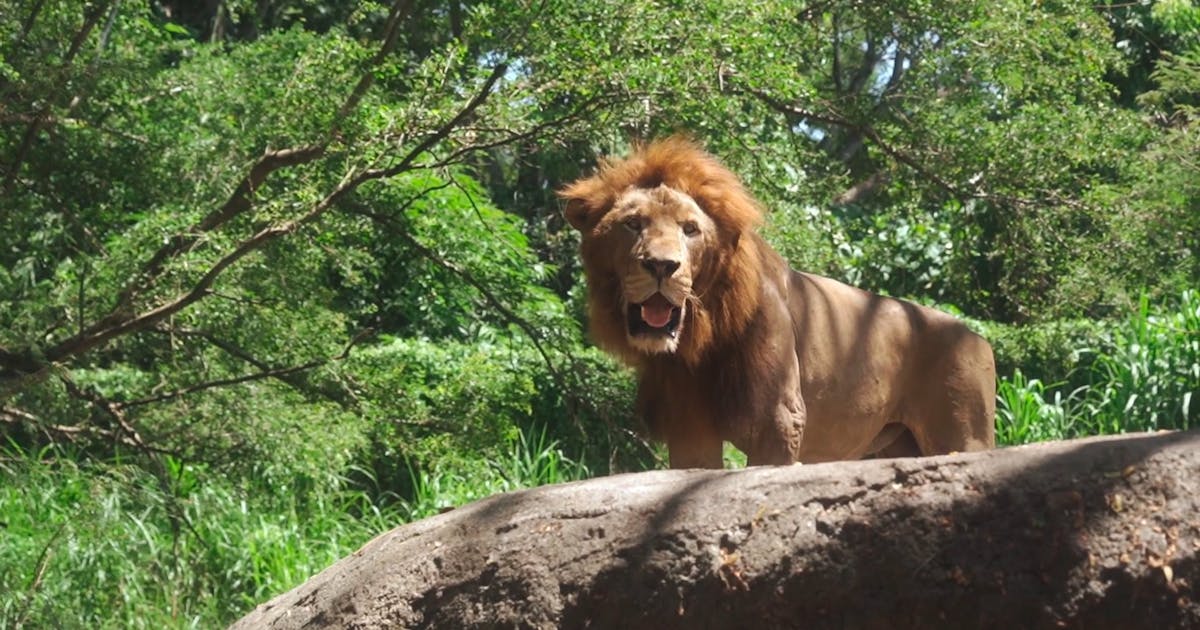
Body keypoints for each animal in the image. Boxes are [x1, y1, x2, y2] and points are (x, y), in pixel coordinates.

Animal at [559, 137, 996, 468]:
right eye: (632, 223)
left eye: (691, 229)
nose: (662, 266)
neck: (702, 335)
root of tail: (978, 337)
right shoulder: (690, 424)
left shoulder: (779, 418)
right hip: (895, 446)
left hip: (963, 433)